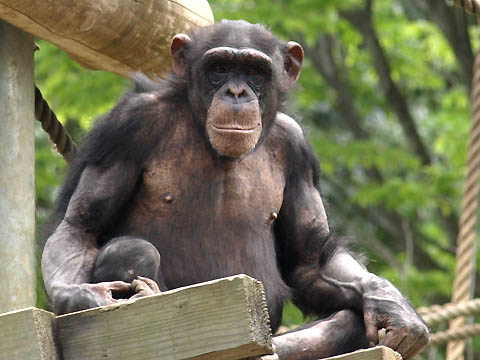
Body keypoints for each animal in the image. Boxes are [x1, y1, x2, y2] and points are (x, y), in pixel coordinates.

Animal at [41, 20, 430, 360]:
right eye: (220, 67)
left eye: (255, 72)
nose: (237, 92)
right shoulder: (125, 128)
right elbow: (80, 227)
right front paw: (80, 296)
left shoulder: (298, 152)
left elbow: (309, 261)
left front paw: (390, 304)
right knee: (131, 250)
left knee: (347, 321)